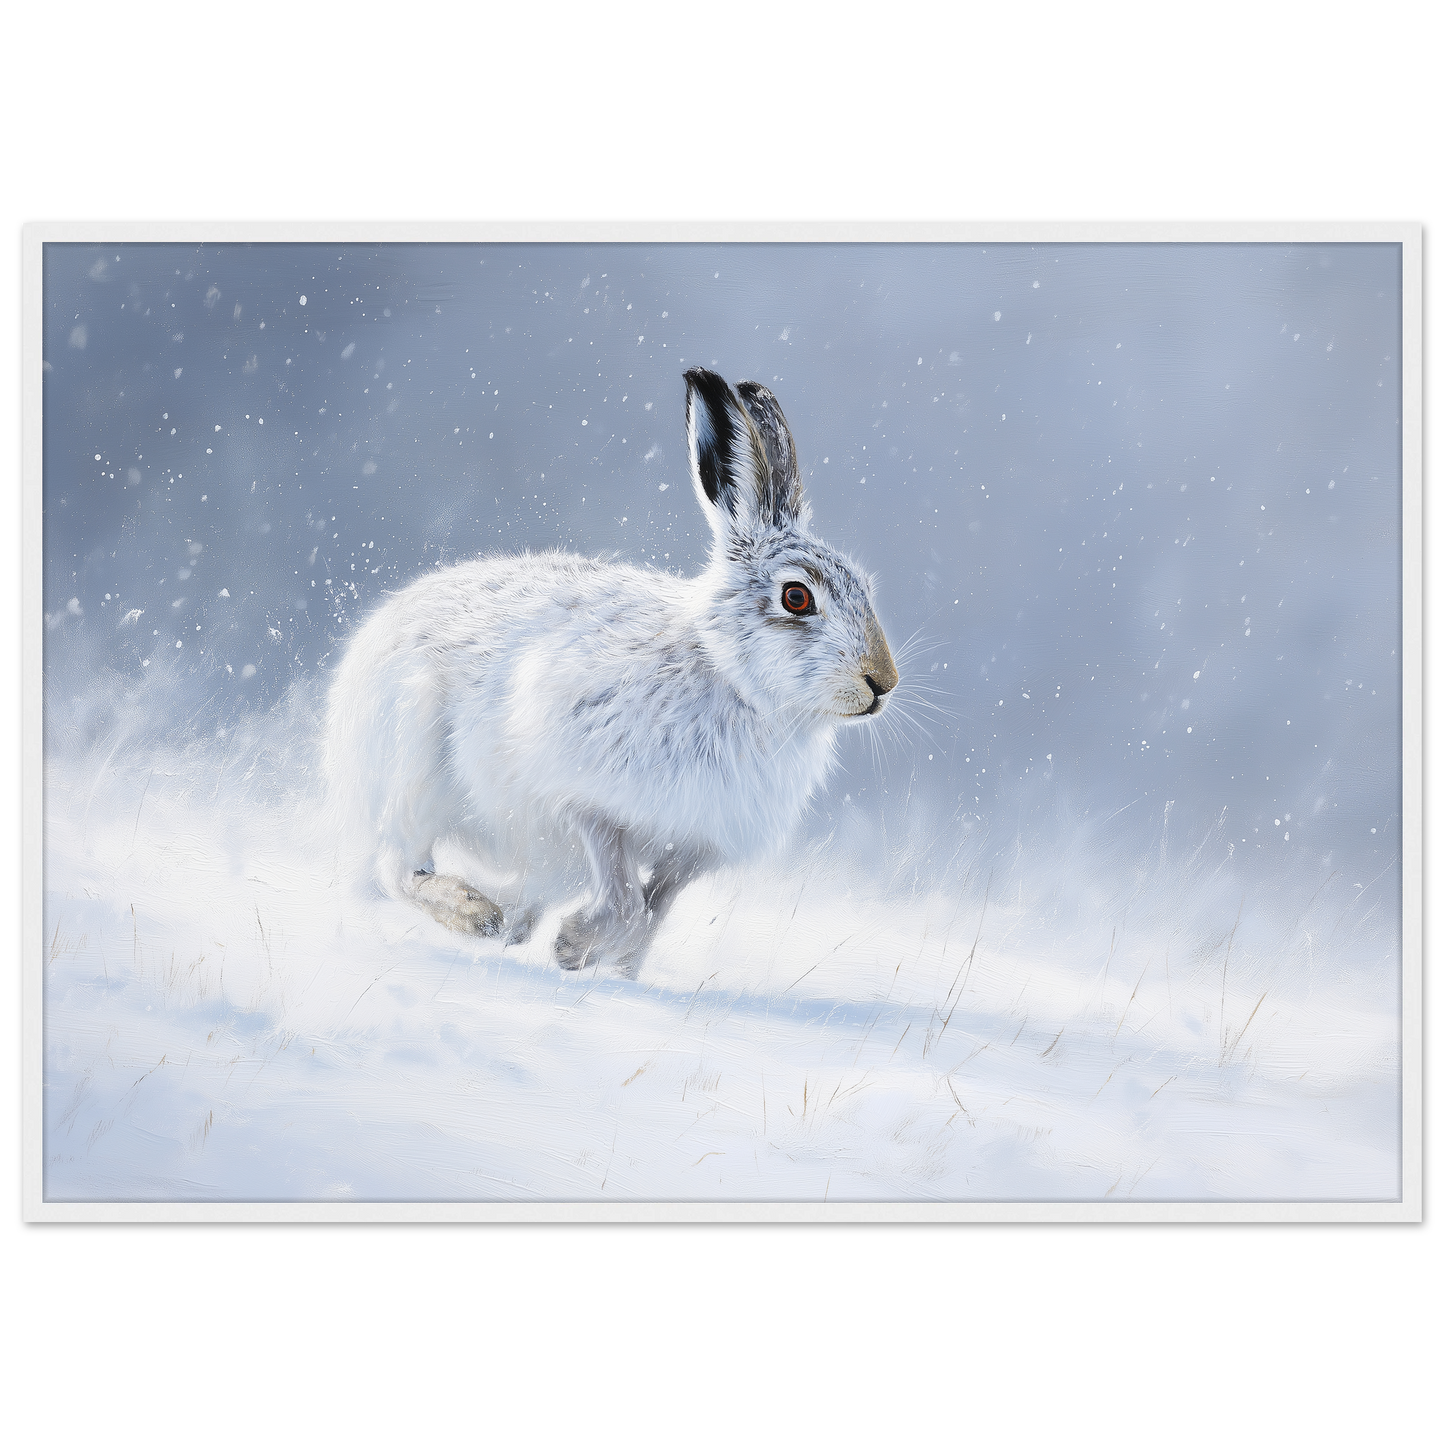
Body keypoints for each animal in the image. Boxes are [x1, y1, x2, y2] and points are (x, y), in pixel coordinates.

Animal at [322, 368, 899, 972]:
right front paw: (573, 944)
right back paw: (476, 915)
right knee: (397, 867)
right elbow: (625, 901)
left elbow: (650, 916)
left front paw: (607, 967)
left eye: (865, 587)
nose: (882, 682)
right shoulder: (587, 800)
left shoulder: (692, 848)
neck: (729, 677)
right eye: (796, 597)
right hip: (414, 762)